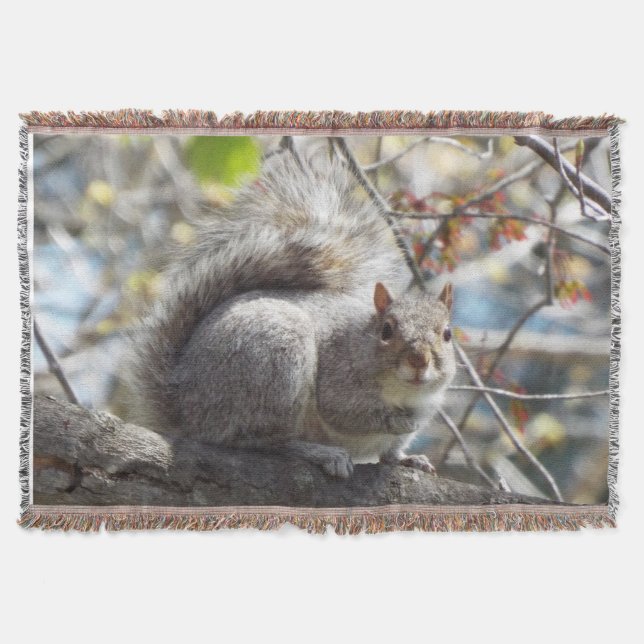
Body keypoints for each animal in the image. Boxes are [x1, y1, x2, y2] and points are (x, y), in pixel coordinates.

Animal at [129, 151, 456, 478]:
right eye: (386, 330)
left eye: (447, 334)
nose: (419, 360)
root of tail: (186, 414)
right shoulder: (338, 379)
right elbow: (346, 413)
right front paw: (397, 420)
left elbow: (390, 453)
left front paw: (407, 458)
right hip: (275, 359)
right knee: (259, 440)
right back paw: (317, 452)